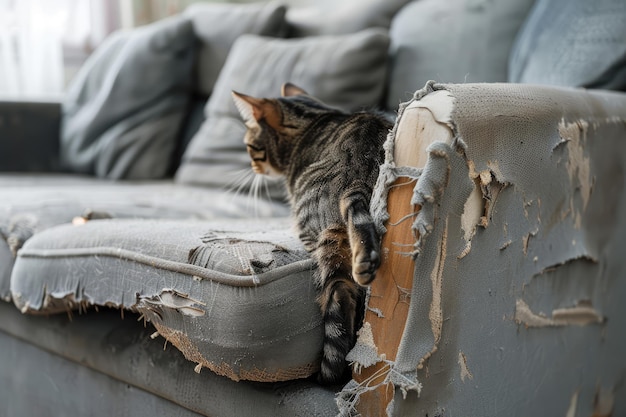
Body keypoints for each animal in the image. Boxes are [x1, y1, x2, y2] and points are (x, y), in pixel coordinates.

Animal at [234, 83, 390, 386]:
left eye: (250, 147)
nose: (254, 168)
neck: (313, 119)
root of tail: (357, 175)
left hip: (315, 234)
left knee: (338, 292)